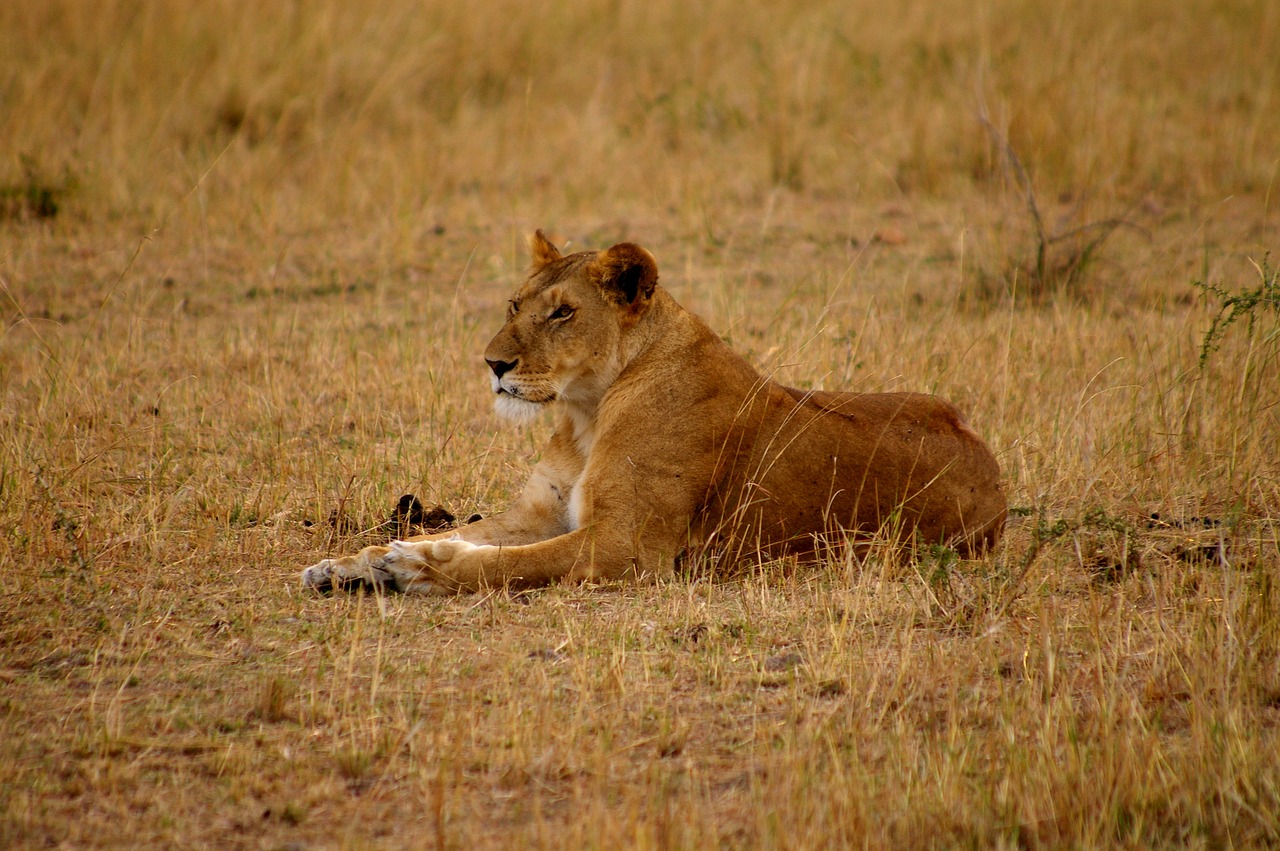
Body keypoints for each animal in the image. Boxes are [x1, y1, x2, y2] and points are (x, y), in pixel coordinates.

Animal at [302, 229, 1008, 593]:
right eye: (515, 305)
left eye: (562, 313)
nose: (493, 365)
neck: (586, 412)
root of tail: (992, 467)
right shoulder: (540, 513)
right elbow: (472, 534)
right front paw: (347, 565)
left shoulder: (630, 547)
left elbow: (505, 563)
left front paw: (415, 565)